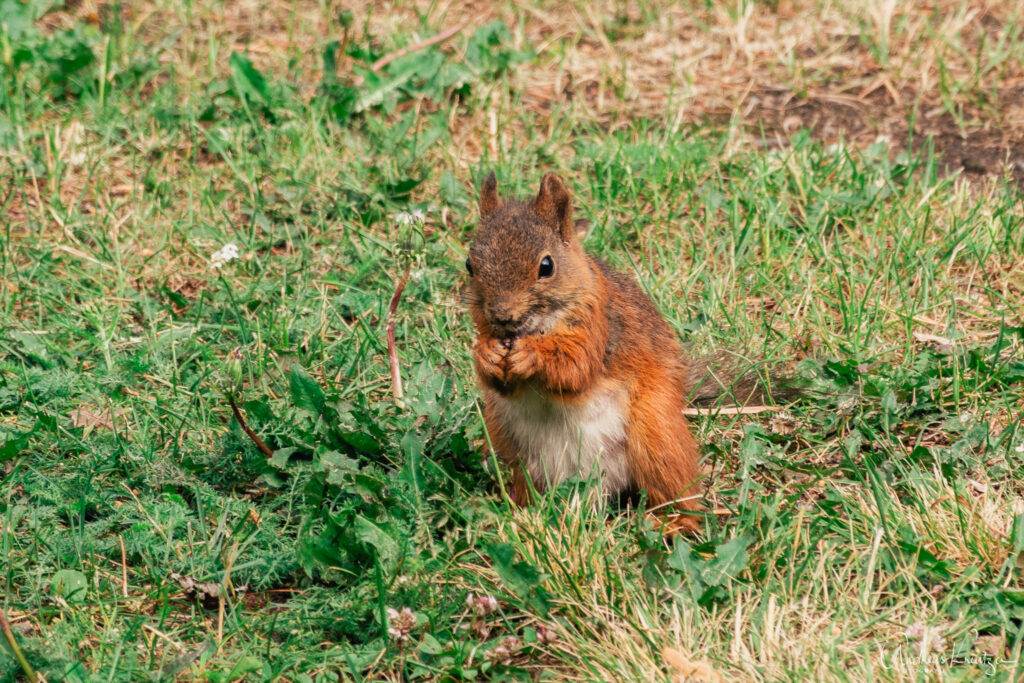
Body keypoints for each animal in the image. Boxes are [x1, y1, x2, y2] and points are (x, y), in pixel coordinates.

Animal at [465, 171, 744, 533]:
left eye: (546, 266)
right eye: (470, 265)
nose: (502, 316)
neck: (536, 329)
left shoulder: (597, 328)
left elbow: (574, 370)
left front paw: (532, 356)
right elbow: (499, 383)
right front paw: (486, 355)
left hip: (655, 438)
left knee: (676, 493)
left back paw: (671, 523)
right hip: (507, 442)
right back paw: (517, 513)